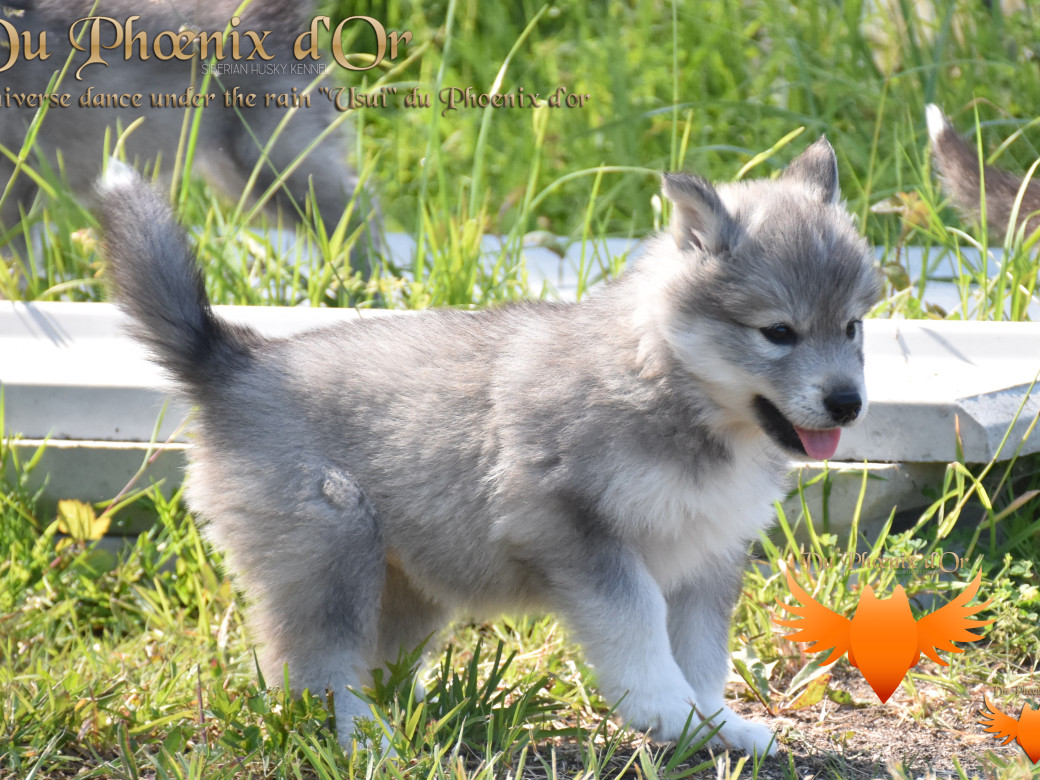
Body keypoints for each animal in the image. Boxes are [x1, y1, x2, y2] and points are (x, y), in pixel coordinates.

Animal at [97, 139, 881, 757]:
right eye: (777, 332)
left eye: (852, 326)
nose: (848, 402)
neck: (663, 382)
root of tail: (233, 357)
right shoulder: (579, 534)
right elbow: (640, 631)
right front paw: (667, 713)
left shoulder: (706, 555)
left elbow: (700, 655)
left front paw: (716, 726)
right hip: (331, 553)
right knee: (320, 668)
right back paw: (369, 741)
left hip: (409, 584)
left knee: (350, 665)